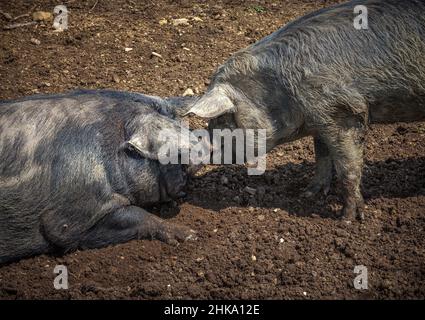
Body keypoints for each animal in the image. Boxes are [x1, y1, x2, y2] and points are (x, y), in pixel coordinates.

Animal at [186, 0, 425, 220]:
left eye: (222, 119)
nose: (192, 160)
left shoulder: (344, 111)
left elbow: (348, 166)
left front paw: (348, 219)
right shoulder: (321, 121)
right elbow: (322, 156)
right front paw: (308, 194)